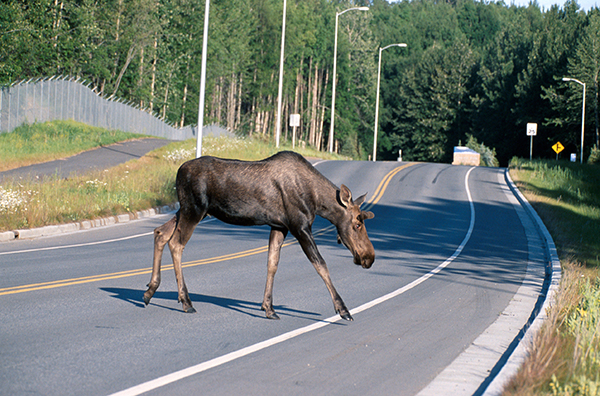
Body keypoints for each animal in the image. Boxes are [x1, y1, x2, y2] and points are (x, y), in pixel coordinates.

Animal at [142, 150, 372, 320]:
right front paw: (343, 310)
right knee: (176, 244)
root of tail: (178, 171)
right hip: (194, 209)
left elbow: (272, 264)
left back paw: (150, 290)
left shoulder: (280, 226)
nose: (369, 258)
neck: (317, 201)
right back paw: (186, 301)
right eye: (357, 223)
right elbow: (321, 265)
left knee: (160, 232)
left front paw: (269, 308)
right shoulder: (300, 226)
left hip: (187, 210)